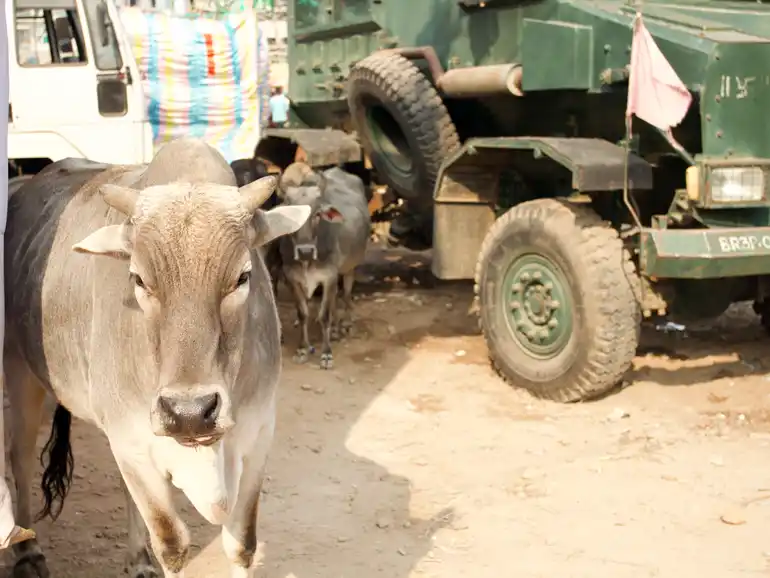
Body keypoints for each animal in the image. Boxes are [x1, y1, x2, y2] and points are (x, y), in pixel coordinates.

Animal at [3, 137, 310, 578]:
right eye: (139, 279)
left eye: (243, 276)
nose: (189, 413)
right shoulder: (133, 442)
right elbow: (173, 544)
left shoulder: (257, 437)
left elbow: (242, 545)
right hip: (19, 368)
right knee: (20, 456)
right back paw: (28, 552)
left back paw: (137, 558)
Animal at [276, 162, 371, 370]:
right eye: (292, 213)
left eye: (317, 214)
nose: (305, 251)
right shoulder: (292, 278)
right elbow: (303, 314)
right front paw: (302, 349)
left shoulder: (329, 276)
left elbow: (324, 315)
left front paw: (326, 354)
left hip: (349, 268)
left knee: (346, 293)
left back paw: (346, 324)